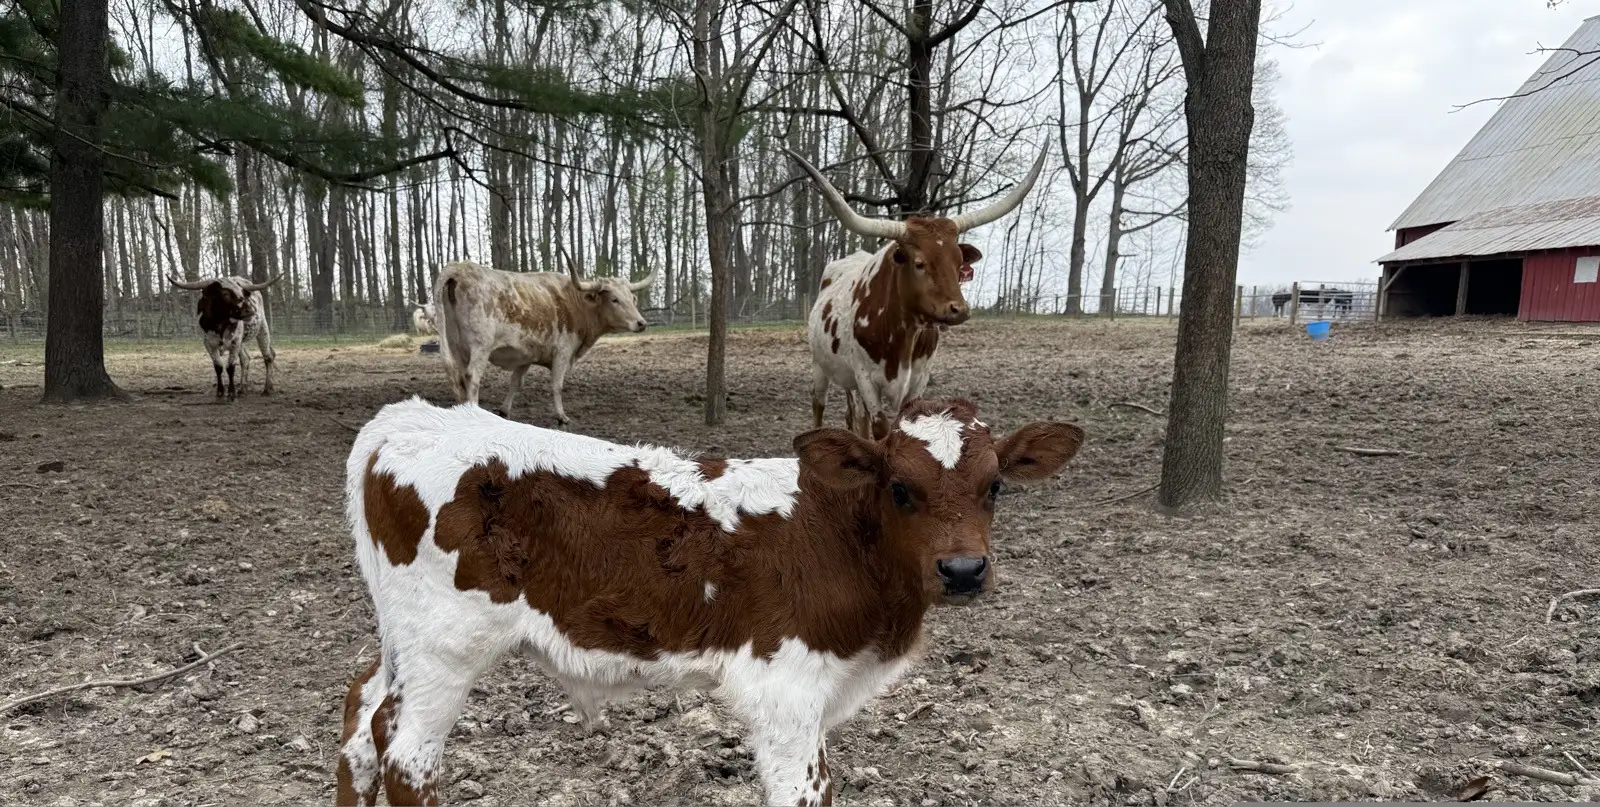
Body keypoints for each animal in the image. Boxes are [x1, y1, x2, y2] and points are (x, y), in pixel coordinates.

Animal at [336, 395, 1084, 806]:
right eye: (899, 487)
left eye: (996, 486)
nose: (963, 570)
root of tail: (412, 418)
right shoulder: (784, 687)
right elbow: (805, 790)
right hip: (447, 647)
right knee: (406, 754)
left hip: (402, 641)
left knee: (361, 717)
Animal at [432, 259, 654, 424]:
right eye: (615, 299)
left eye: (632, 298)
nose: (641, 323)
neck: (575, 302)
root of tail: (460, 269)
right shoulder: (563, 352)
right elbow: (557, 385)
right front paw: (562, 416)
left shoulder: (525, 355)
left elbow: (516, 383)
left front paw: (504, 411)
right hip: (481, 347)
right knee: (472, 378)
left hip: (457, 347)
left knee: (460, 377)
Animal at [787, 145, 1048, 441]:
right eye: (920, 263)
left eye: (959, 263)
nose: (958, 309)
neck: (902, 334)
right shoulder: (866, 379)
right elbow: (881, 430)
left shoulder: (918, 380)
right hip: (820, 366)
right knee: (818, 405)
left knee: (855, 416)